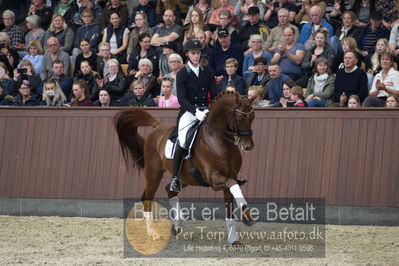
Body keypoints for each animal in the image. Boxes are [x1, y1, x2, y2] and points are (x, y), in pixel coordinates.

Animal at [114, 91, 256, 245]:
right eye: (240, 117)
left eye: (253, 117)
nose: (249, 146)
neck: (219, 140)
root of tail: (157, 128)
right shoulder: (214, 179)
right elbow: (233, 184)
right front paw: (247, 216)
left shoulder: (229, 177)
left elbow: (231, 203)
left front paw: (234, 240)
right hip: (154, 172)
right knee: (147, 197)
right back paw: (153, 233)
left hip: (186, 178)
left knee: (170, 190)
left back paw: (176, 225)